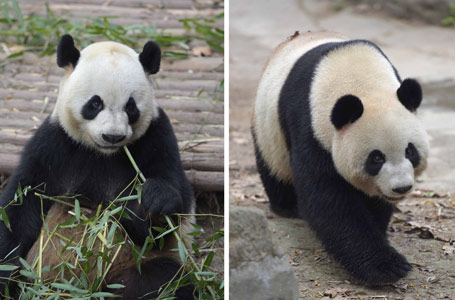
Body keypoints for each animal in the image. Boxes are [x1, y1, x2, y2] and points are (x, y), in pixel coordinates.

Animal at [1, 34, 198, 298]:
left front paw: (154, 199)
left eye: (131, 106)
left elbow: (159, 226)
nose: (113, 136)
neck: (102, 154)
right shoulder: (54, 145)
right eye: (95, 103)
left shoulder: (157, 137)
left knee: (164, 280)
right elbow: (21, 207)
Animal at [253, 31, 432, 284]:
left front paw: (377, 225)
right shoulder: (310, 128)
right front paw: (386, 266)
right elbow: (329, 200)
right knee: (274, 168)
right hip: (268, 130)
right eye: (376, 158)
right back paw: (286, 206)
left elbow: (373, 201)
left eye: (410, 151)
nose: (401, 188)